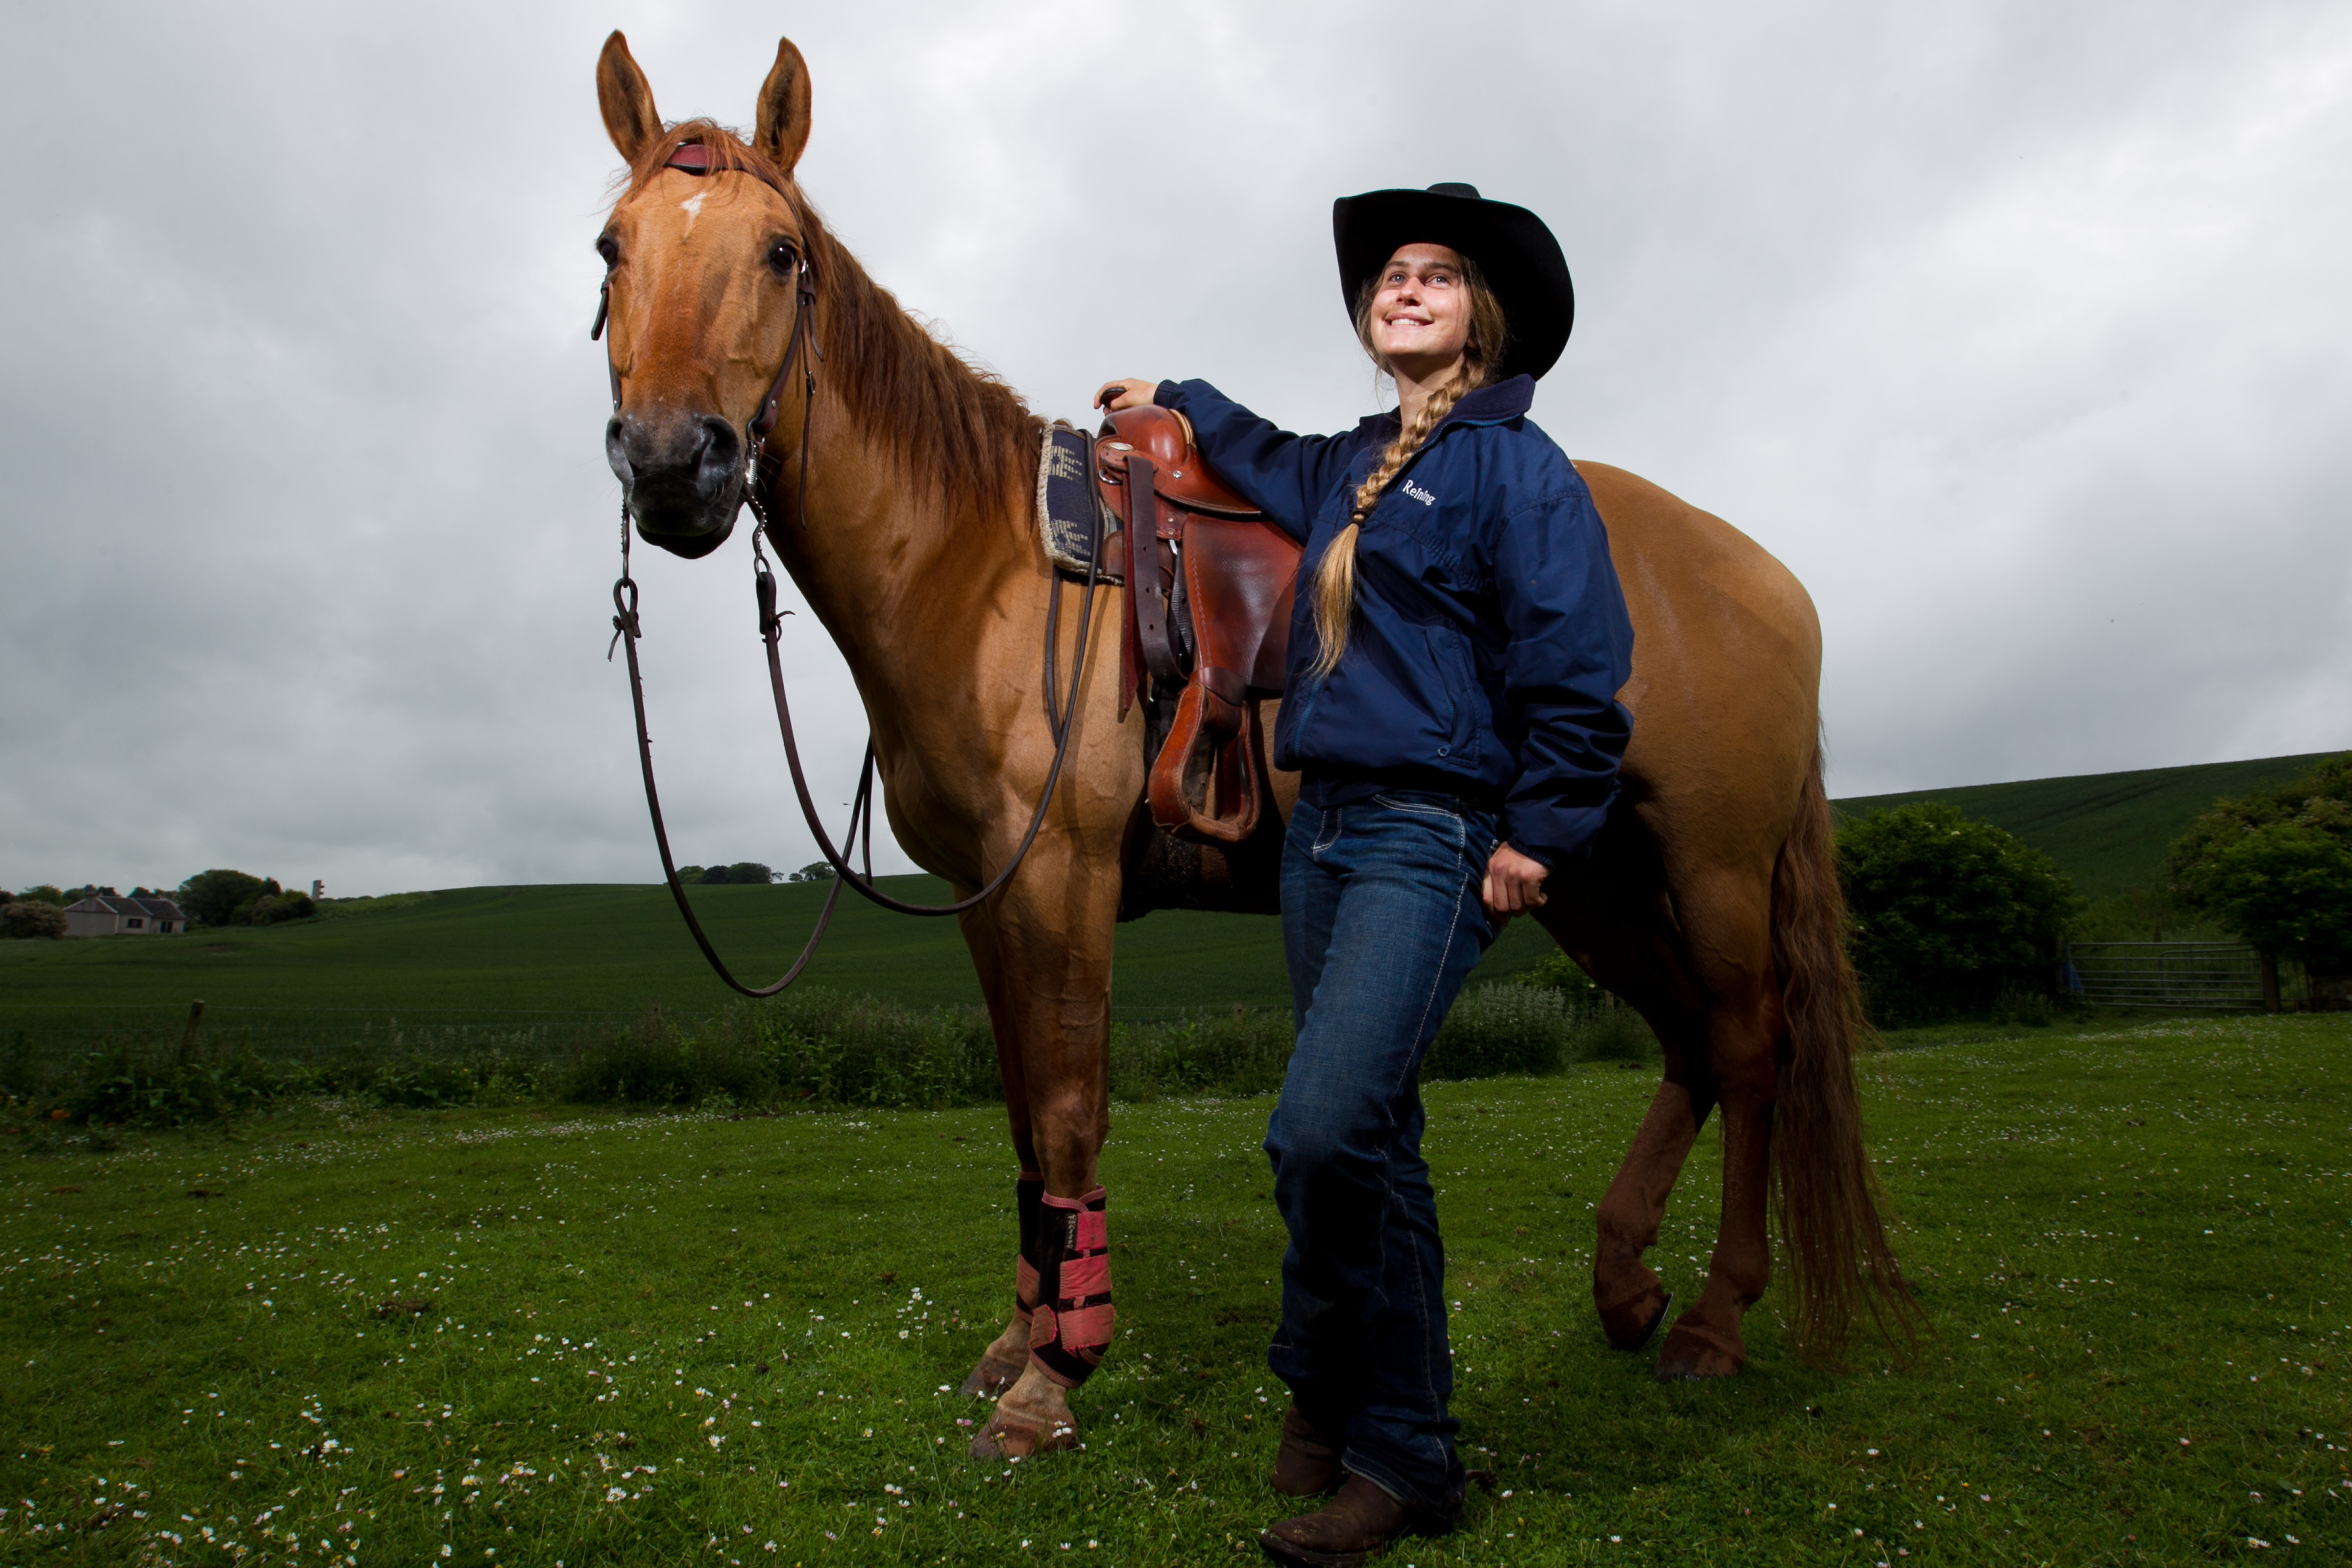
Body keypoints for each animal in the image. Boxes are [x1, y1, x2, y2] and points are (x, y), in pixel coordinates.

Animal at [588, 33, 1909, 1457]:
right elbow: (1020, 1116)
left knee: (1749, 1046)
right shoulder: (987, 896)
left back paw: (1715, 1321)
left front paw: (1057, 1377)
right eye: (612, 249)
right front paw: (1017, 1339)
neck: (981, 566)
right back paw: (1624, 1284)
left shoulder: (1062, 878)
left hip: (1712, 870)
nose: (673, 462)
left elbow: (1069, 1111)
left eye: (781, 253)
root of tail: (1765, 577)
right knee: (1687, 1041)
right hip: (1592, 884)